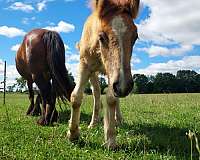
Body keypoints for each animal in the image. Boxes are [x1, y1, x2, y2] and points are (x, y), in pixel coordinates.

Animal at [68, 0, 140, 149]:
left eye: (135, 37)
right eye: (102, 36)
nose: (124, 86)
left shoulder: (112, 74)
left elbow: (111, 99)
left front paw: (110, 138)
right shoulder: (84, 65)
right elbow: (76, 96)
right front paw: (73, 134)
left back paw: (119, 119)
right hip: (94, 74)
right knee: (96, 94)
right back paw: (93, 122)